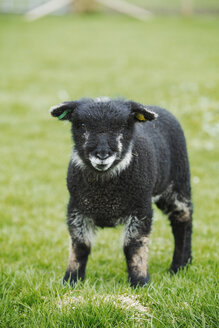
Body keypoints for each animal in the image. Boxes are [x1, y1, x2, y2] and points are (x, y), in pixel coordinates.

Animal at [50, 96, 193, 288]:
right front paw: (71, 281)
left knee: (182, 220)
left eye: (123, 126)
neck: (105, 193)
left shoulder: (141, 209)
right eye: (81, 125)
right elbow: (80, 246)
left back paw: (178, 266)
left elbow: (133, 246)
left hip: (178, 183)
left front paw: (140, 282)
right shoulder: (76, 208)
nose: (102, 154)